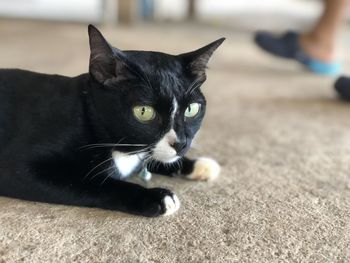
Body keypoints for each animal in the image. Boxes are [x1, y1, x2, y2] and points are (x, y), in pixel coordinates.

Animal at [0, 25, 224, 218]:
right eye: (144, 112)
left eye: (191, 109)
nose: (181, 143)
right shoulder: (20, 167)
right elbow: (92, 182)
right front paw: (156, 196)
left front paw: (198, 165)